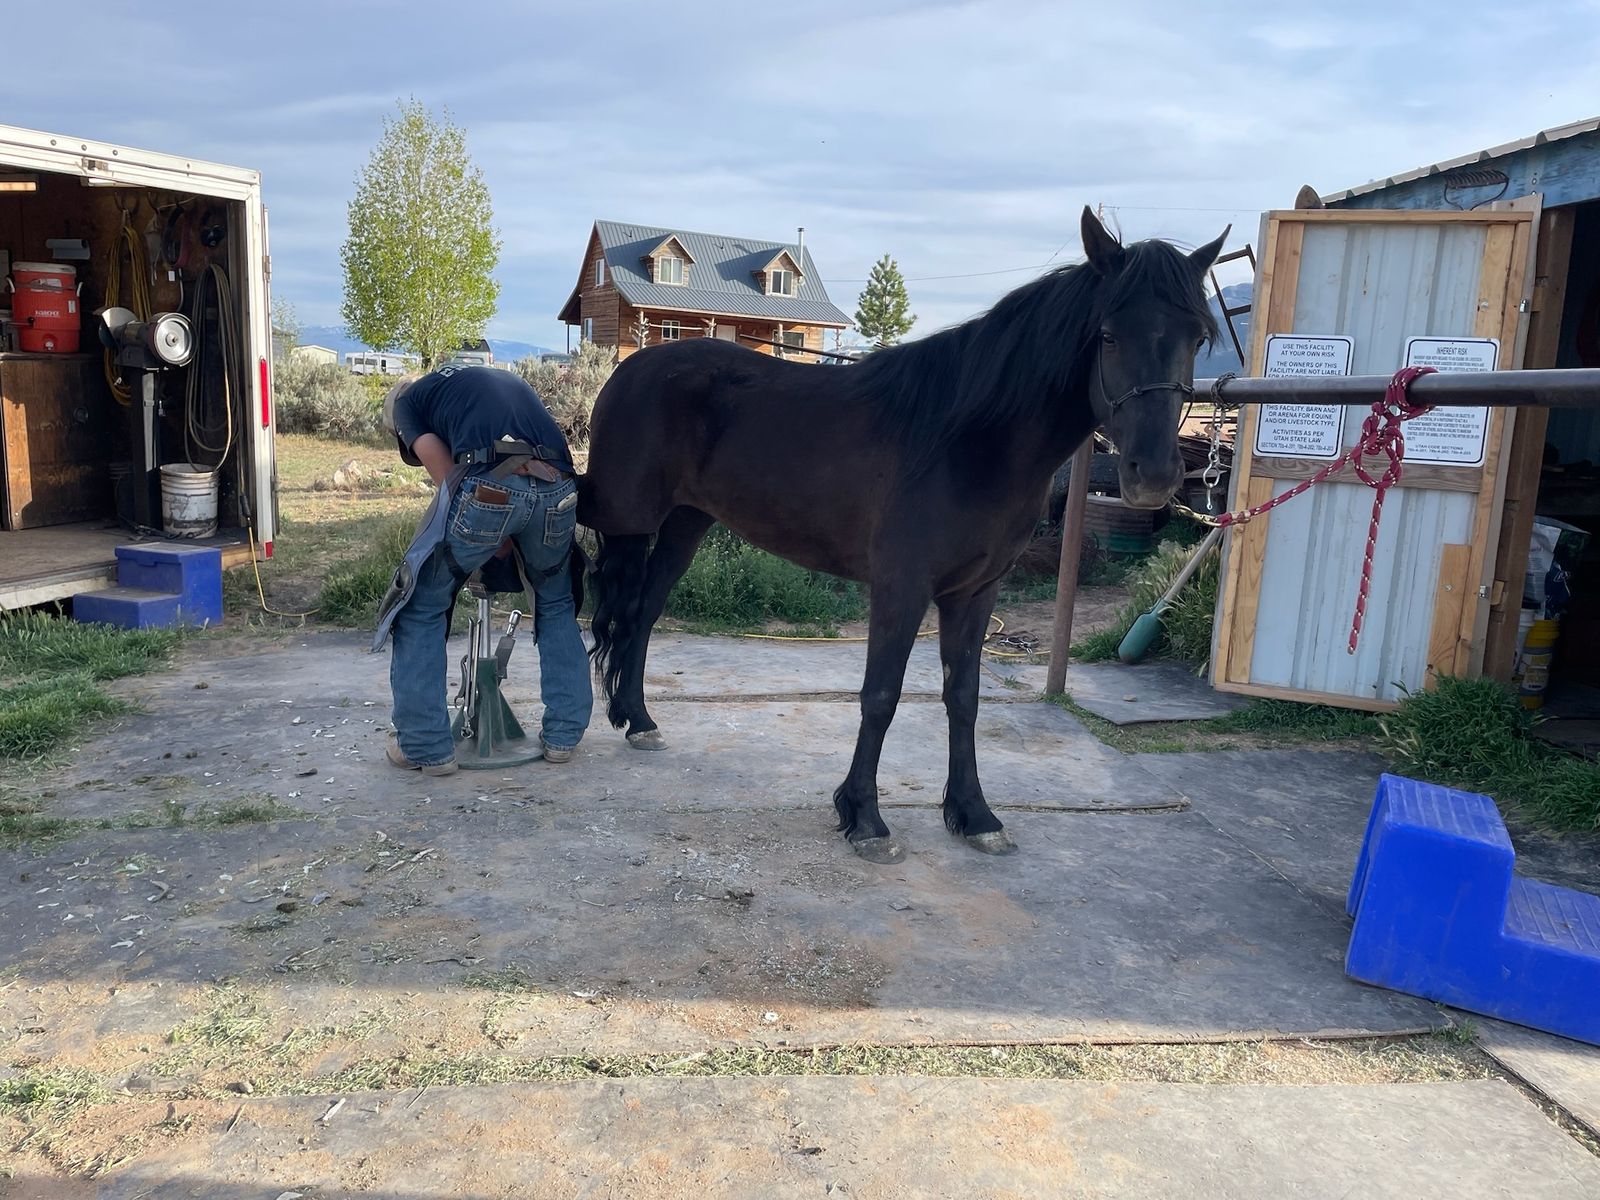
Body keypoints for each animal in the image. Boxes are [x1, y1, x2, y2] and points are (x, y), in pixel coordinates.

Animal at [580, 207, 1226, 864]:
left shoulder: (976, 592)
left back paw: (640, 720)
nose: (1154, 475)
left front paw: (974, 814)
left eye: (1197, 337)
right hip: (633, 526)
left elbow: (963, 697)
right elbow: (881, 694)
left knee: (645, 612)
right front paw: (864, 816)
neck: (969, 440)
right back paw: (633, 718)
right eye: (1109, 335)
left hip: (687, 524)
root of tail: (631, 369)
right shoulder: (901, 586)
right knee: (630, 611)